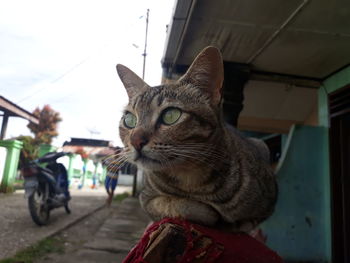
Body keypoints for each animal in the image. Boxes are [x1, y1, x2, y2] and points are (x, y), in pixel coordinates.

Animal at [116, 46, 278, 232]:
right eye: (129, 120)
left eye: (171, 115)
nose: (135, 141)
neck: (193, 182)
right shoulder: (147, 198)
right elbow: (172, 204)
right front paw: (209, 213)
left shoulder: (271, 196)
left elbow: (250, 221)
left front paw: (237, 223)